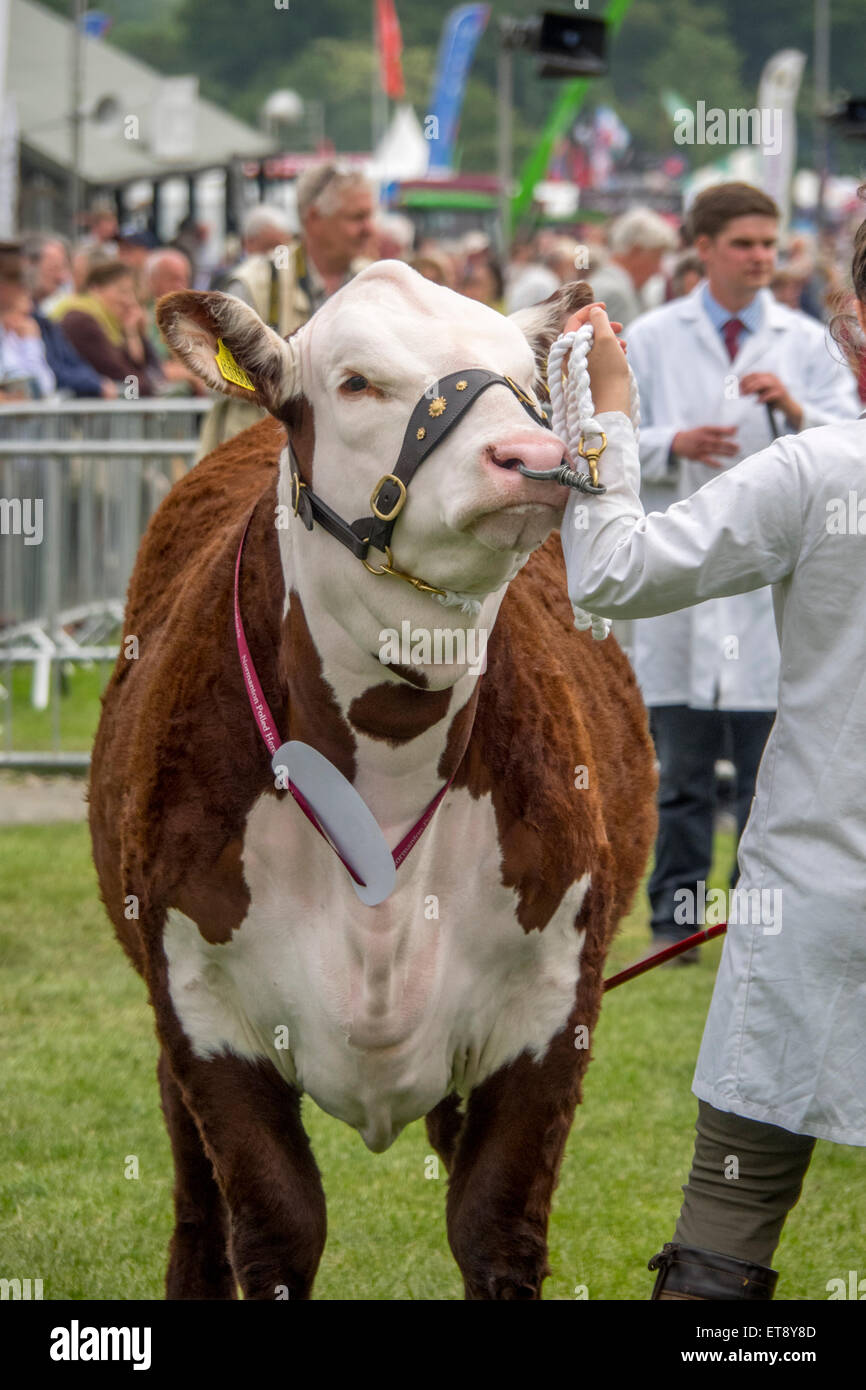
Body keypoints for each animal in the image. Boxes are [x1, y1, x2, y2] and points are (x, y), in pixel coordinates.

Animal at [89, 261, 656, 1301]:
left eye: (529, 380)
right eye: (356, 382)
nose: (530, 454)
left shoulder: (554, 1007)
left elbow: (494, 1227)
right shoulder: (201, 1013)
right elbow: (275, 1227)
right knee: (193, 1194)